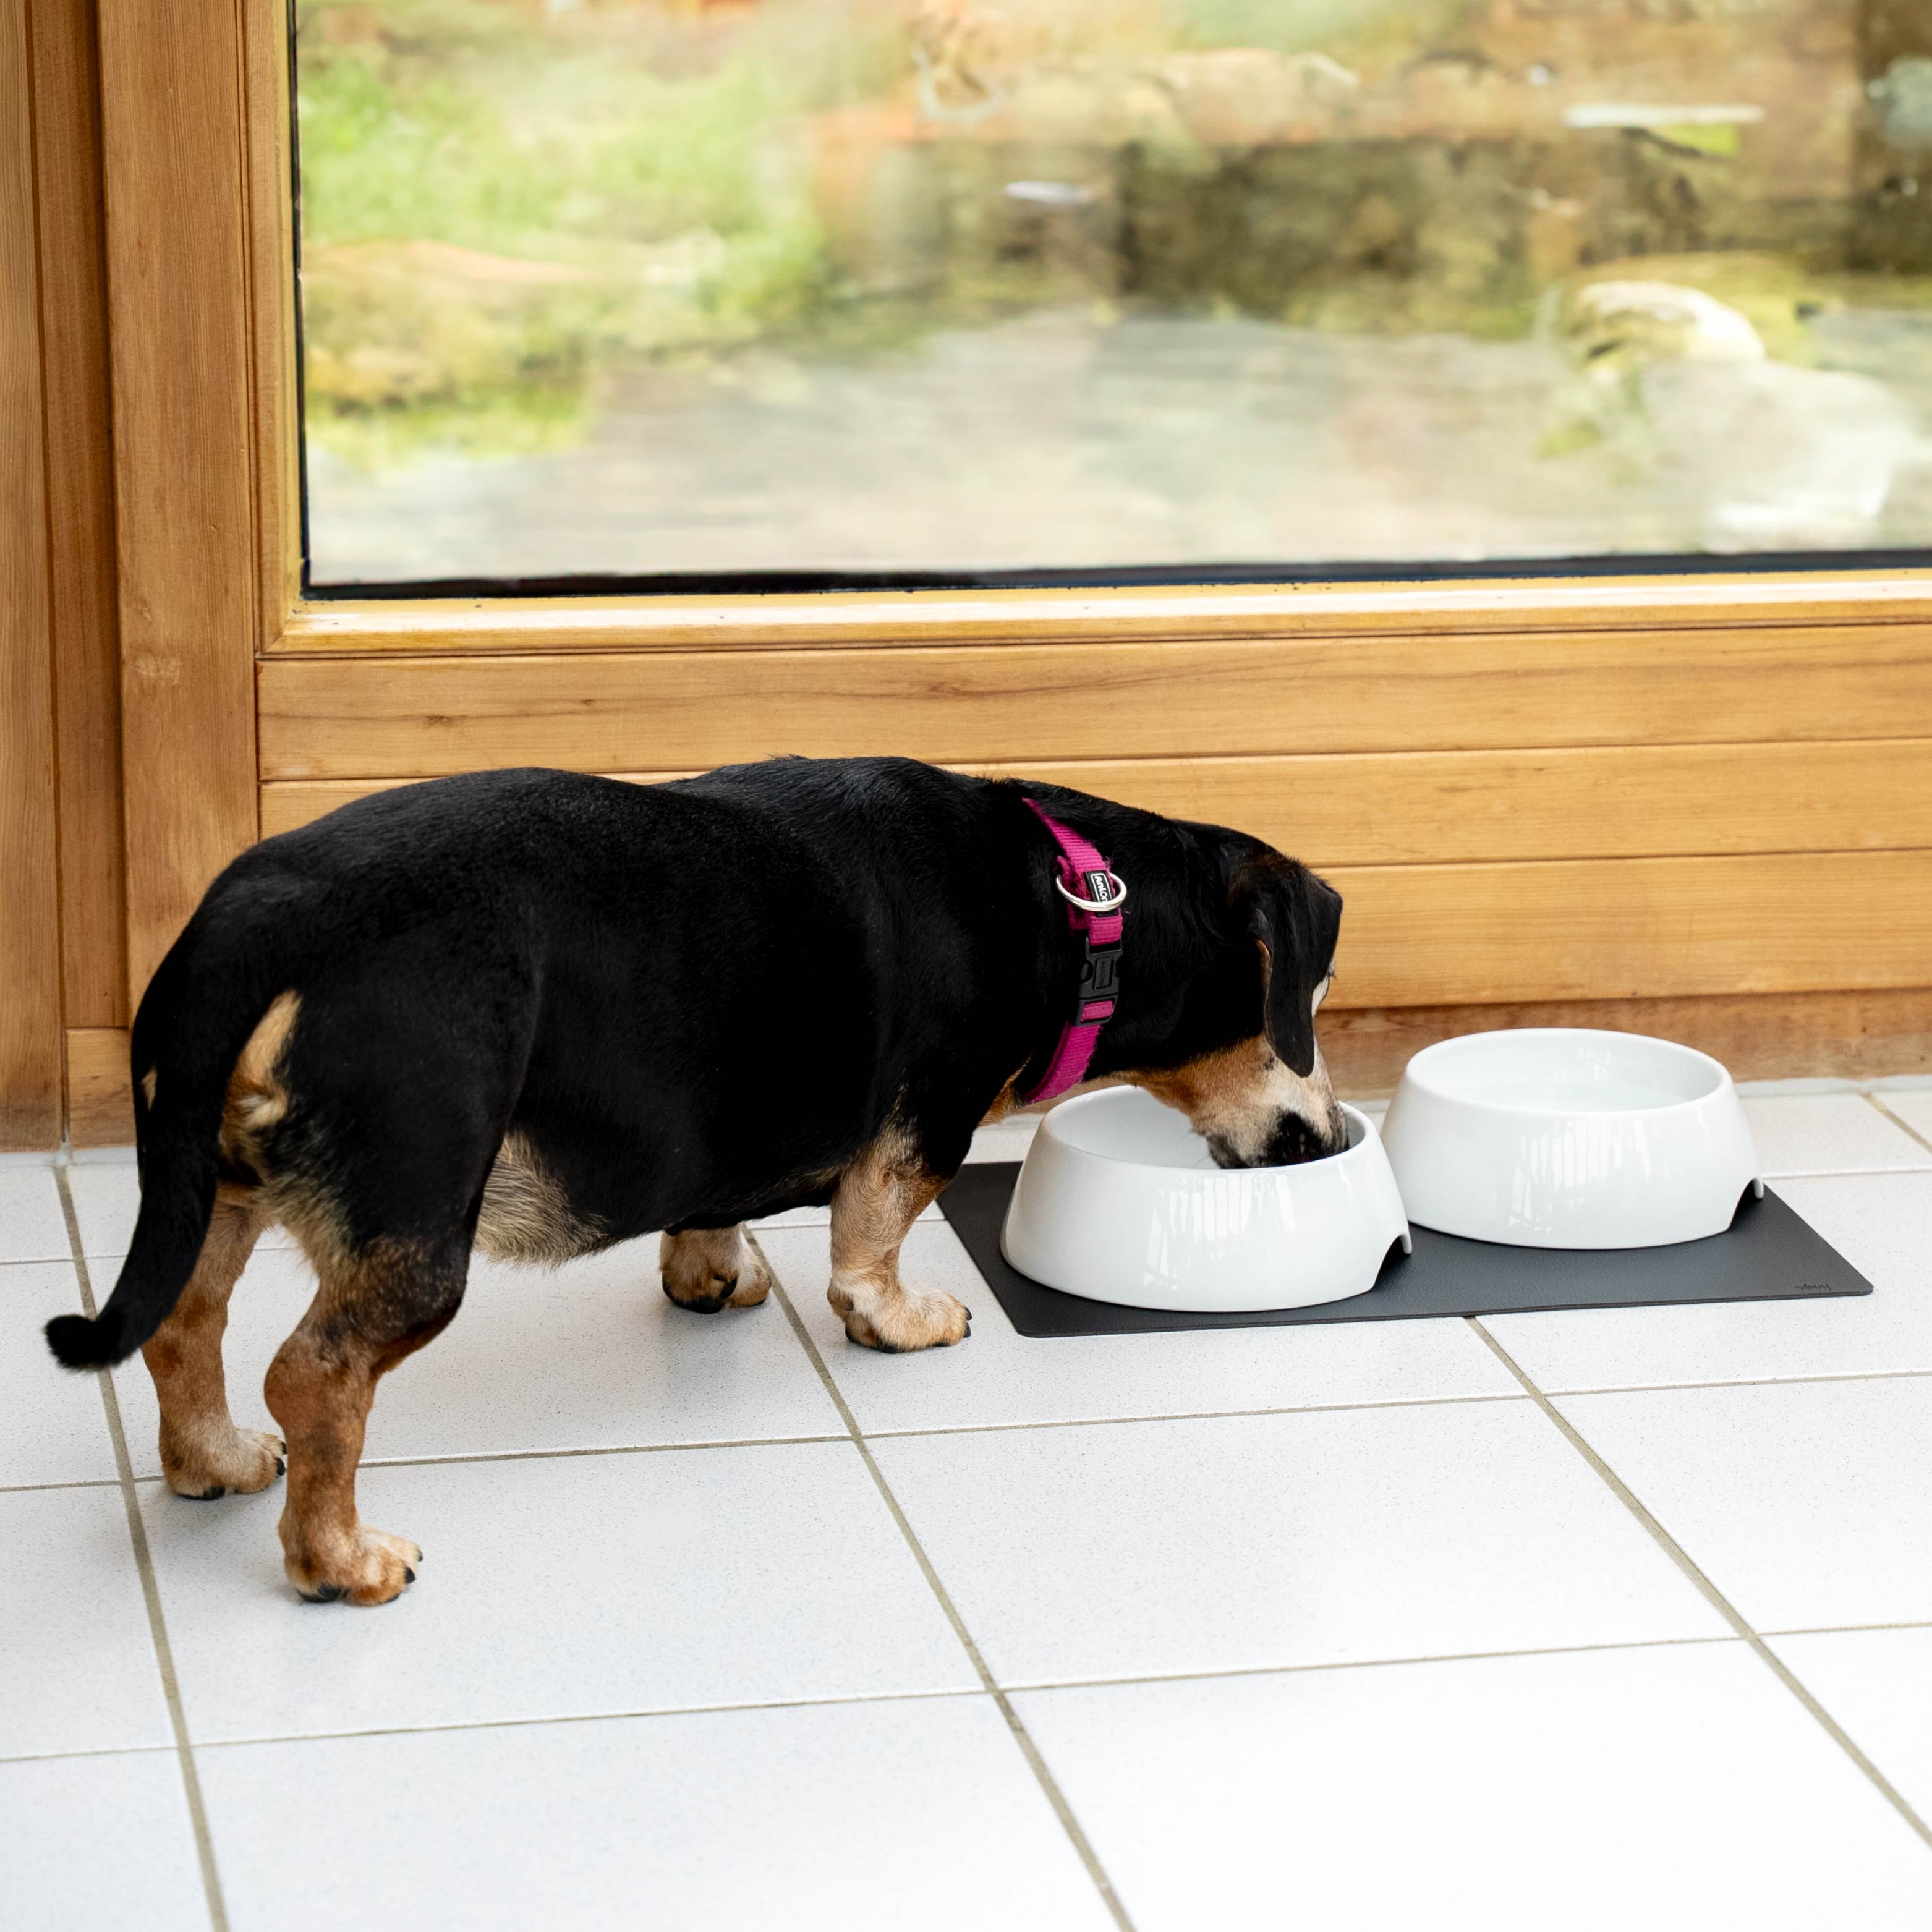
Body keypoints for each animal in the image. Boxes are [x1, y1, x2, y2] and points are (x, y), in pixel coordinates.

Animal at [45, 761, 1345, 1607]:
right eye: (1310, 1003)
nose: (1331, 1139)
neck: (1072, 897)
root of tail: (252, 929)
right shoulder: (924, 1122)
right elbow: (876, 1238)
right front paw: (901, 1318)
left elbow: (712, 1206)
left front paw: (714, 1273)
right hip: (417, 1222)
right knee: (314, 1376)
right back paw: (340, 1560)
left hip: (214, 1185)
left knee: (186, 1325)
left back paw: (213, 1460)